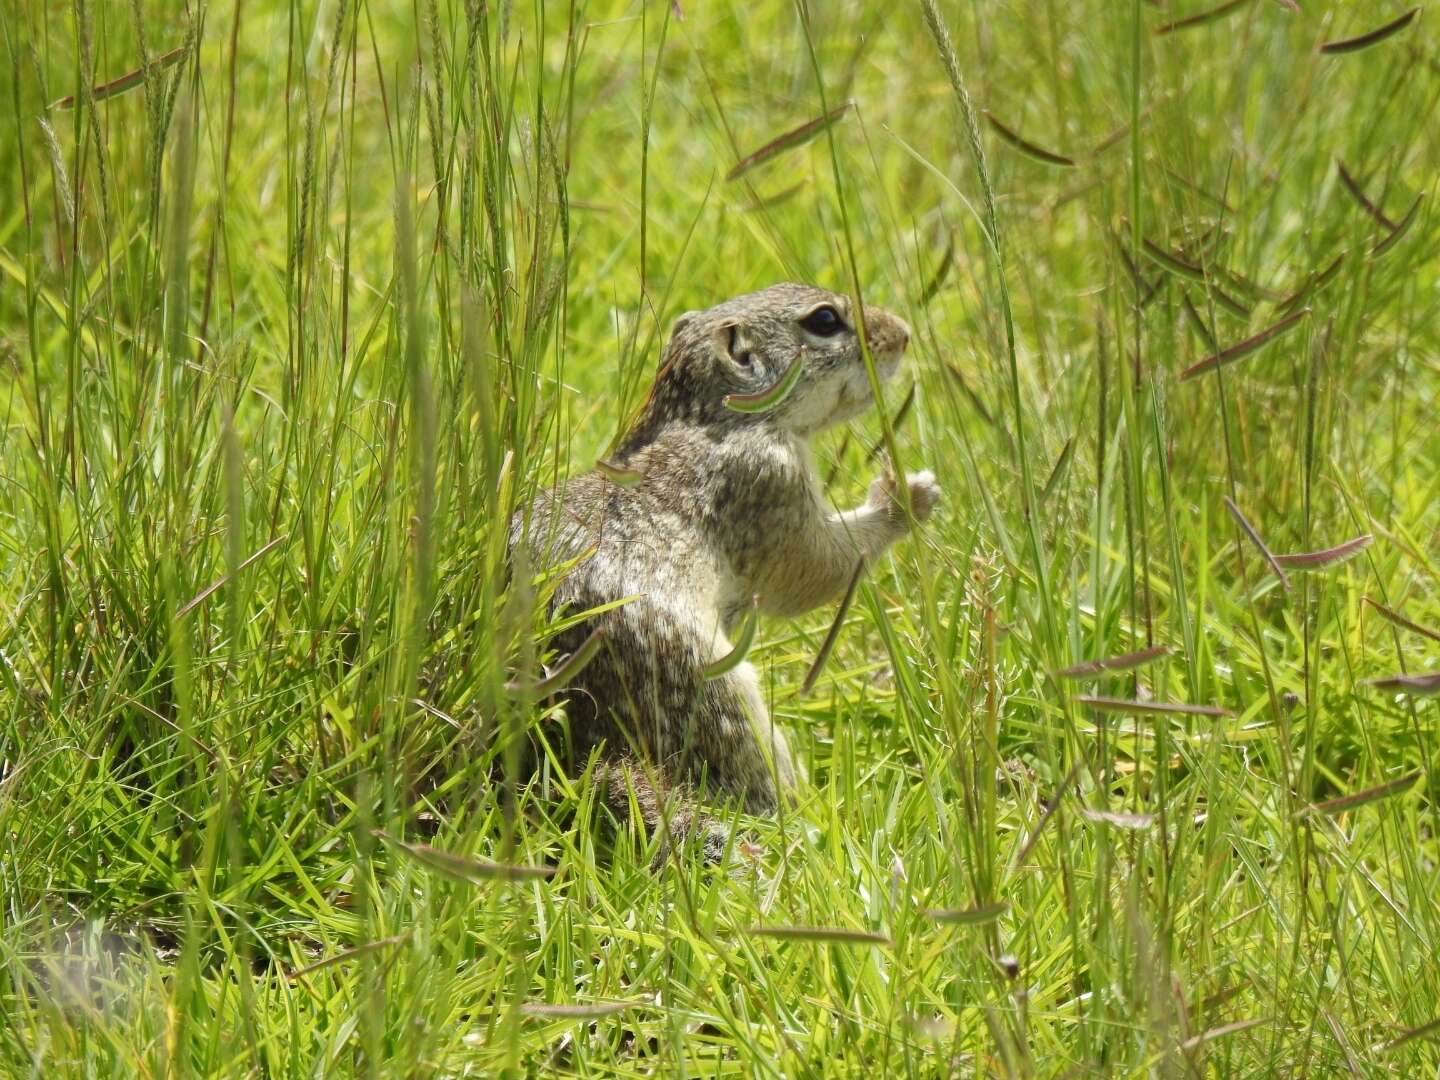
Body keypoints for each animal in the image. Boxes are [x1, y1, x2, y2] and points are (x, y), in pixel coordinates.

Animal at [512, 283, 938, 869]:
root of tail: (584, 738)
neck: (710, 415)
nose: (902, 334)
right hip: (716, 694)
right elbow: (816, 566)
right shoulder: (766, 484)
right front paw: (905, 496)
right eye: (825, 321)